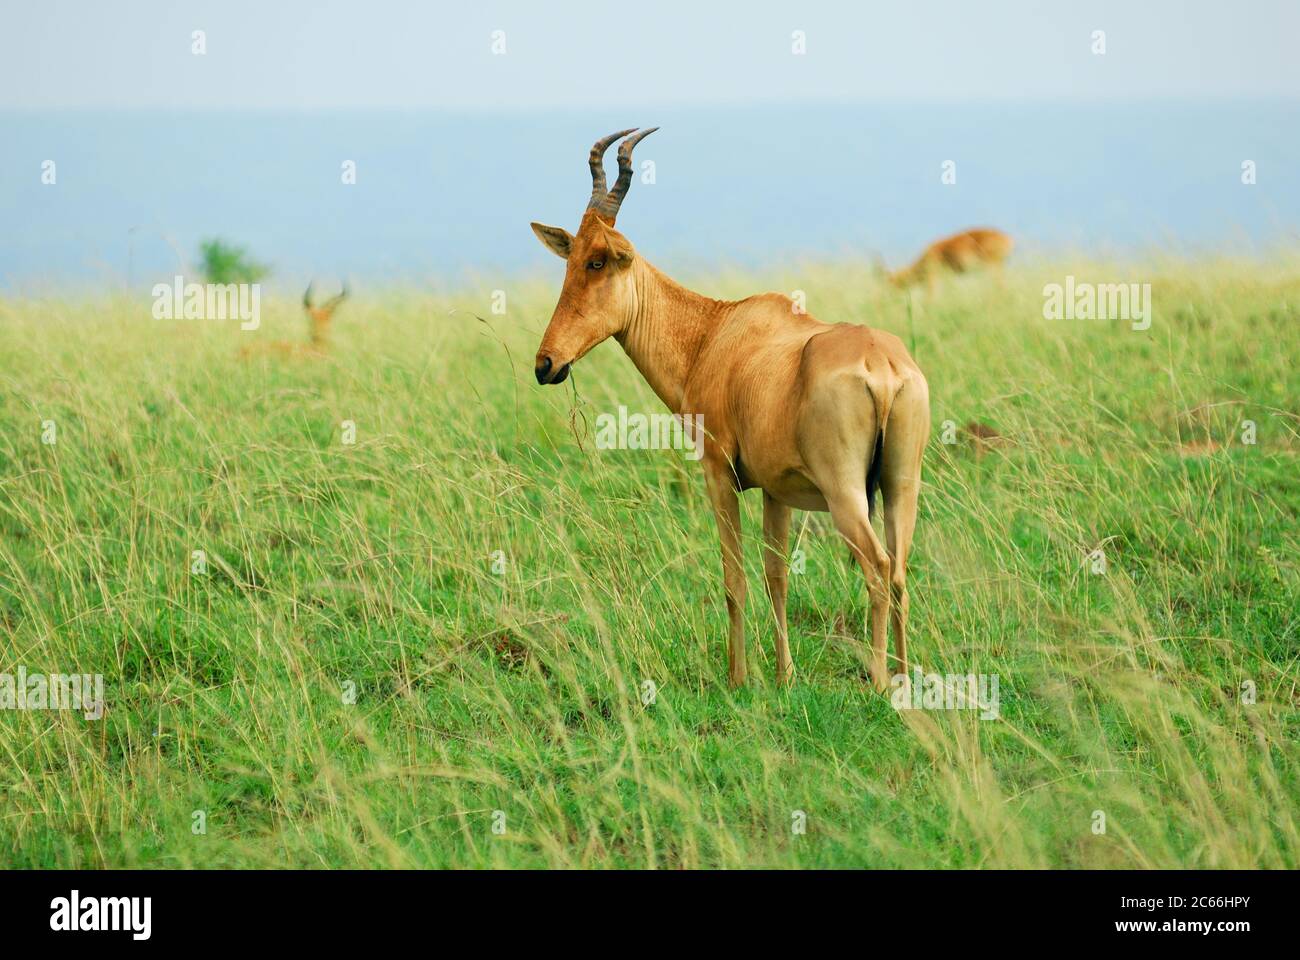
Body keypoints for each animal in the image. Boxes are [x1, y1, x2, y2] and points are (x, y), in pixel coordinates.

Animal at [530, 129, 930, 690]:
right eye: (569, 260)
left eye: (598, 261)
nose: (547, 364)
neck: (716, 332)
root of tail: (883, 365)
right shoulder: (778, 490)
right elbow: (776, 574)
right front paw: (784, 675)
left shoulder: (719, 472)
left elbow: (733, 576)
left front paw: (740, 677)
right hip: (900, 484)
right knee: (899, 571)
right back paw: (903, 675)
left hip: (845, 492)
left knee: (875, 566)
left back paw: (875, 680)